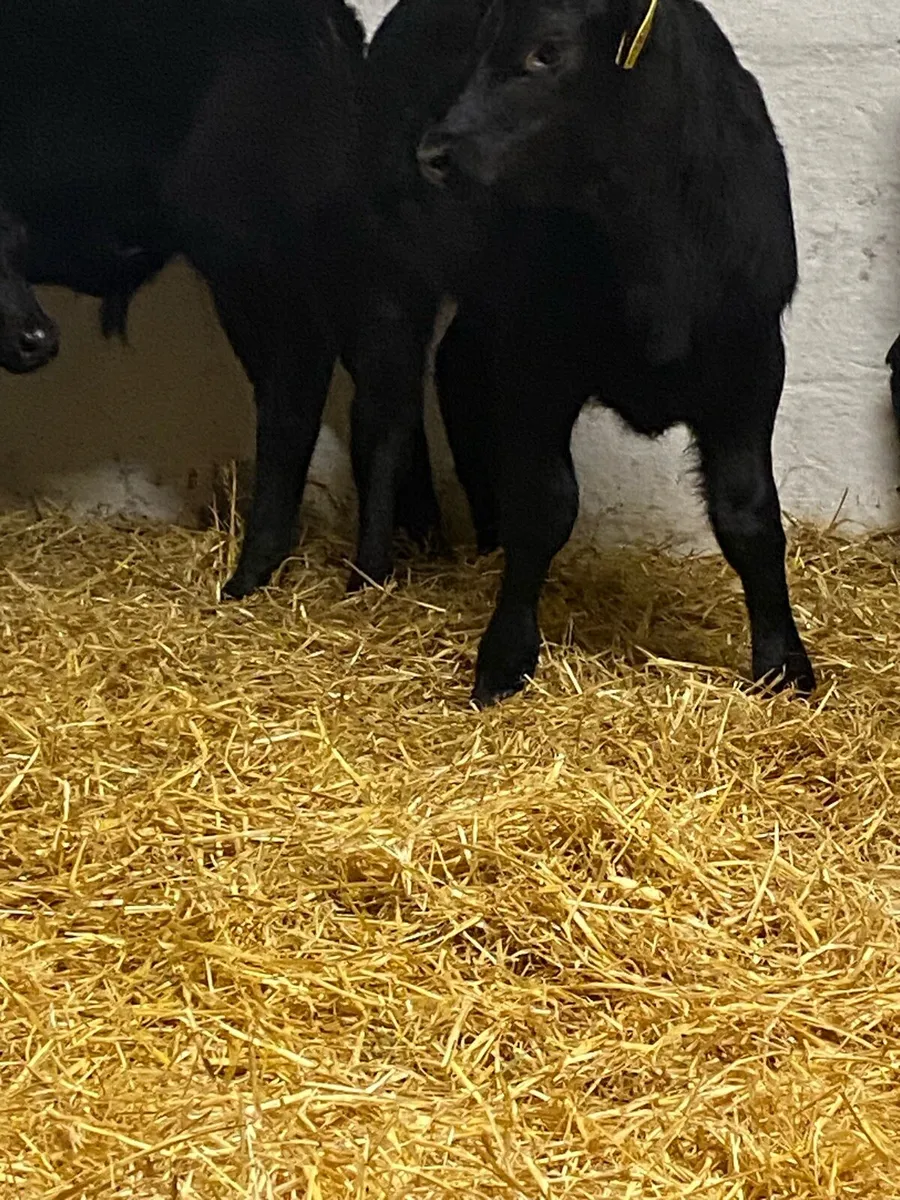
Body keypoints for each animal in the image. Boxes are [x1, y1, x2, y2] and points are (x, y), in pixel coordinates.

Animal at [407, 0, 816, 706]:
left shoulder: (752, 357)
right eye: (480, 44)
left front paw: (783, 661)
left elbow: (748, 513)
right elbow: (544, 506)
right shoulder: (537, 354)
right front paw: (505, 655)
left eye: (547, 51)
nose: (434, 153)